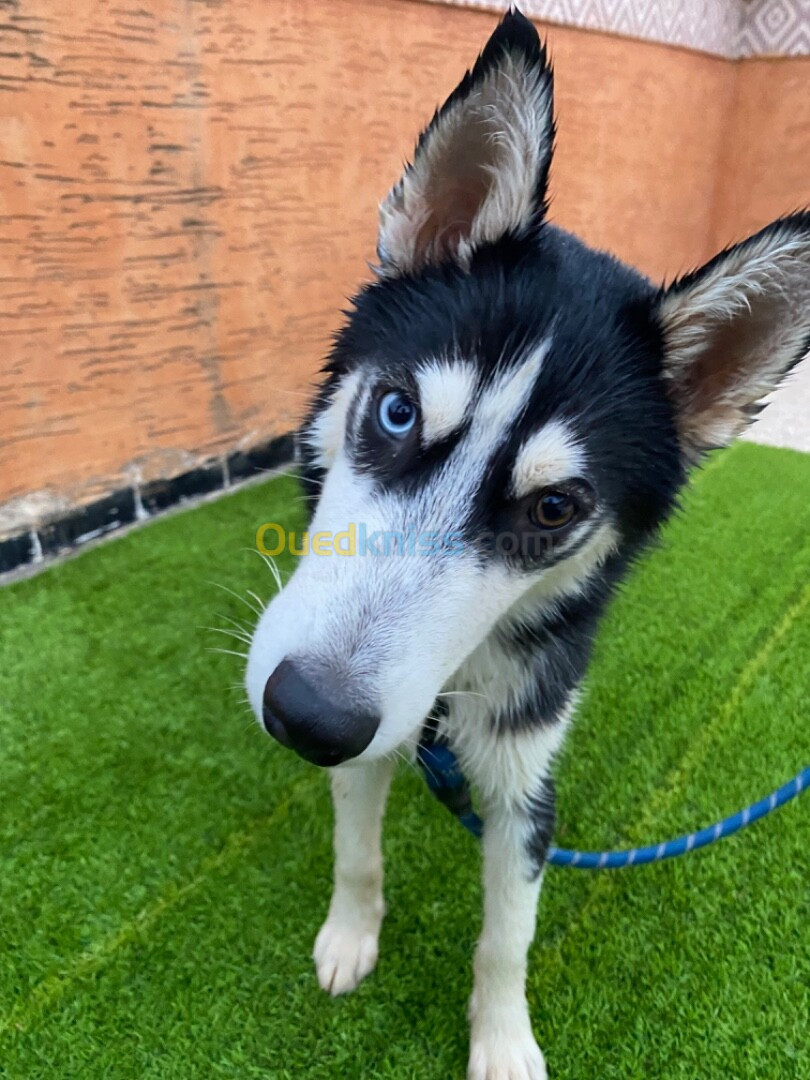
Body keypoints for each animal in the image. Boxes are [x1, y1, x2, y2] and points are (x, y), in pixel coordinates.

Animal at [247, 10, 810, 1080]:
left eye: (552, 511)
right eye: (396, 411)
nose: (308, 714)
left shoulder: (524, 781)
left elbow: (507, 936)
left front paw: (503, 1041)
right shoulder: (370, 746)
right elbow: (357, 850)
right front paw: (351, 934)